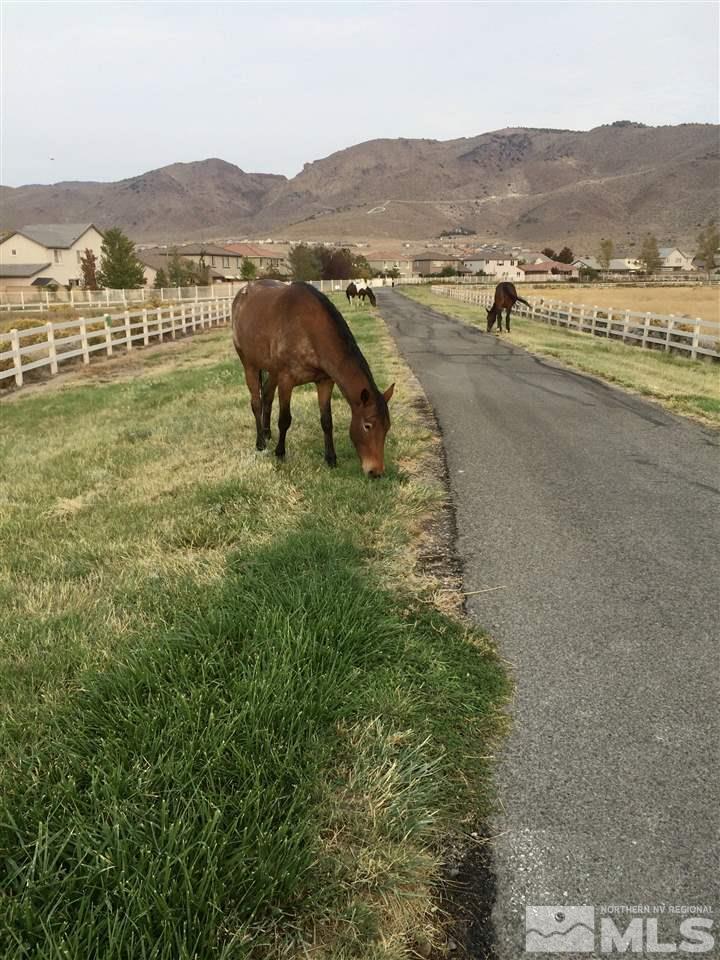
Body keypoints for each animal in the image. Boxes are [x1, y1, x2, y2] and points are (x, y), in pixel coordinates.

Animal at [232, 280, 394, 477]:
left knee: (267, 396)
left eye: (387, 427)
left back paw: (267, 432)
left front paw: (331, 458)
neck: (309, 330)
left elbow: (326, 421)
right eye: (367, 425)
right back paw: (261, 442)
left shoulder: (325, 382)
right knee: (256, 402)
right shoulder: (286, 380)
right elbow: (284, 420)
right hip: (249, 364)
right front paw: (280, 453)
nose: (376, 472)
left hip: (272, 370)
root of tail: (241, 294)